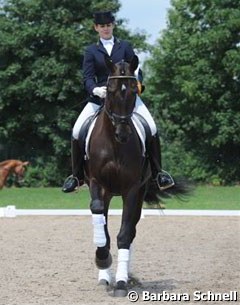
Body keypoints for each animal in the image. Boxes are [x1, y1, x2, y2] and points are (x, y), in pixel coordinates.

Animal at [84, 54, 188, 294]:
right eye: (110, 90)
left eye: (133, 91)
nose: (123, 133)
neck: (114, 145)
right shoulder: (96, 183)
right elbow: (99, 216)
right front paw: (102, 259)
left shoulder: (132, 189)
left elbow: (124, 235)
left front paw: (121, 282)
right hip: (108, 192)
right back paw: (105, 276)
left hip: (139, 192)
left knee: (131, 231)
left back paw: (126, 276)